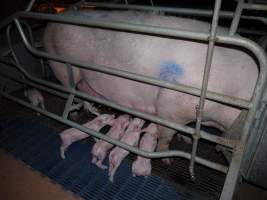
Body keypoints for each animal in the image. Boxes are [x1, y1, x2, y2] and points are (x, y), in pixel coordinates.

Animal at [44, 10, 260, 162]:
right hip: (61, 64)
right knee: (74, 92)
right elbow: (166, 133)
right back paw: (77, 113)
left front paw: (186, 139)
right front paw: (167, 159)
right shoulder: (170, 106)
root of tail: (52, 22)